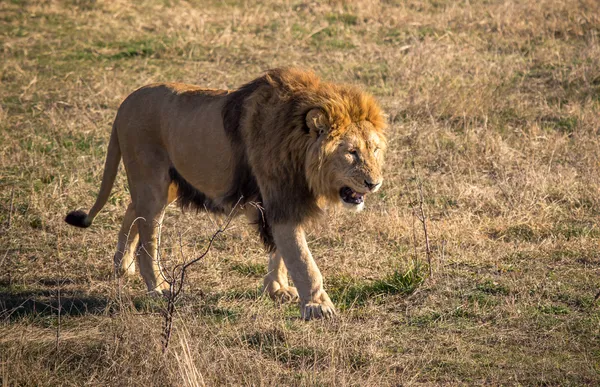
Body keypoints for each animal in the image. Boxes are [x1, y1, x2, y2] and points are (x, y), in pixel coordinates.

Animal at [64, 68, 384, 320]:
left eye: (375, 149)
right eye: (352, 152)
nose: (375, 183)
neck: (299, 153)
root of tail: (125, 102)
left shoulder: (282, 201)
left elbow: (281, 252)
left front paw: (277, 289)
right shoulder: (281, 199)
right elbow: (302, 259)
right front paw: (318, 306)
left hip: (169, 184)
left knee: (133, 211)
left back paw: (122, 265)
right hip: (151, 181)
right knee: (148, 238)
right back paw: (158, 287)